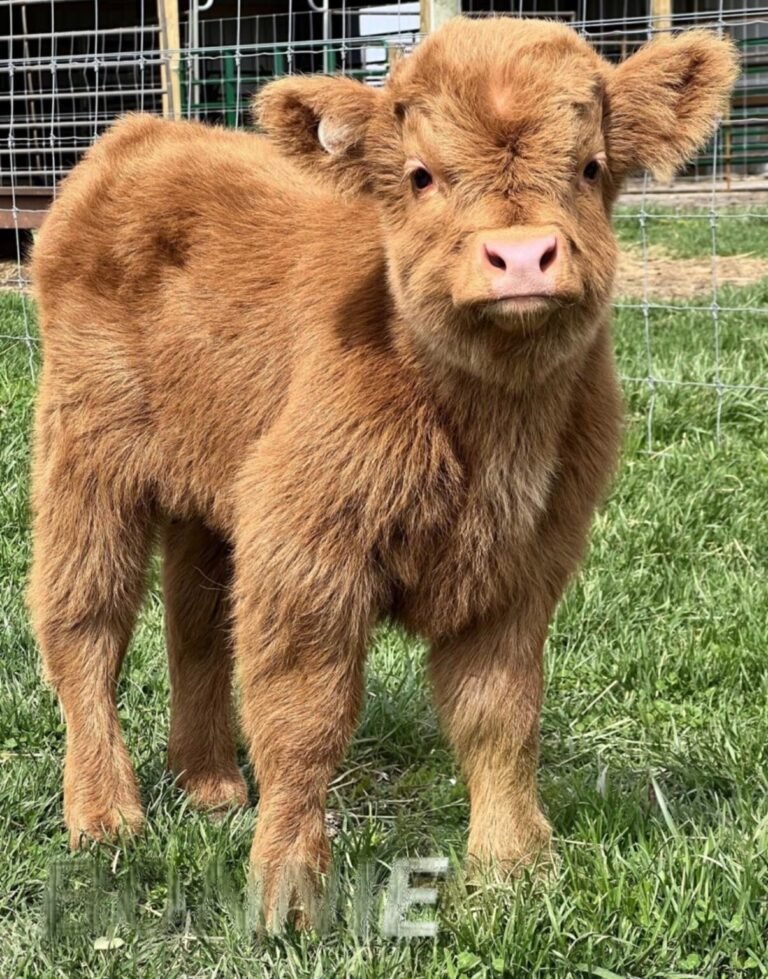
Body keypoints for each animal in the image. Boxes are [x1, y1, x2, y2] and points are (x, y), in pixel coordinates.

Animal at [28, 16, 737, 928]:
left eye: (589, 167)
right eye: (420, 175)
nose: (521, 255)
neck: (488, 430)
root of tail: (144, 133)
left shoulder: (523, 563)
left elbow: (500, 715)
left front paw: (513, 869)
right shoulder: (306, 548)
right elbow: (304, 715)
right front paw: (288, 894)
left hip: (211, 484)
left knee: (196, 622)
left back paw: (212, 785)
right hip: (87, 455)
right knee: (85, 621)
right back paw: (106, 814)